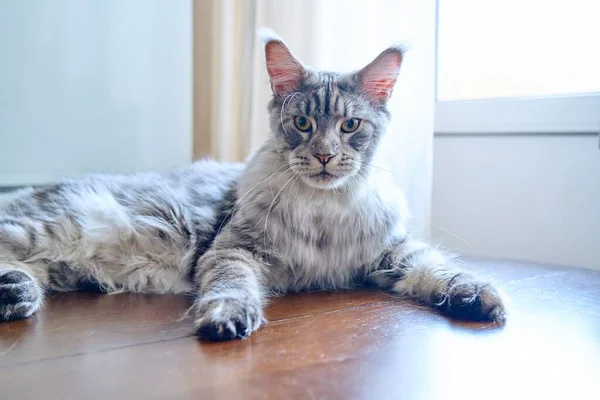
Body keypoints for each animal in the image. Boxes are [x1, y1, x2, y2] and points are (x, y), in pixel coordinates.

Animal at [0, 30, 506, 340]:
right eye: (302, 123)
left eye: (350, 126)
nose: (324, 155)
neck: (323, 212)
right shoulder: (234, 249)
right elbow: (233, 286)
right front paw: (228, 318)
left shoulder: (389, 252)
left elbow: (436, 267)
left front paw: (476, 297)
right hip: (48, 227)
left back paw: (16, 294)